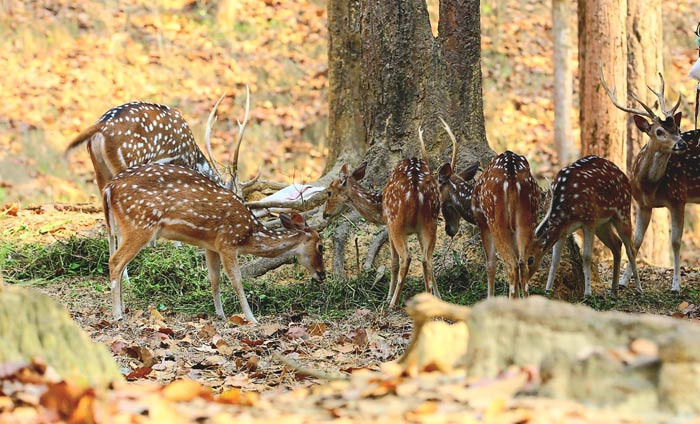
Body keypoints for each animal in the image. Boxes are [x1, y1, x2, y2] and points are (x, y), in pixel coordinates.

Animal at [102, 162, 326, 322]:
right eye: (320, 246)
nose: (322, 274)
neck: (249, 234)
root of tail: (108, 188)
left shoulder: (211, 246)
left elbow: (214, 279)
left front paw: (221, 314)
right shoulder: (228, 242)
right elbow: (236, 280)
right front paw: (251, 318)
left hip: (123, 227)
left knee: (118, 263)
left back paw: (123, 308)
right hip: (141, 224)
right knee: (115, 262)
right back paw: (117, 314)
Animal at [322, 128, 440, 304]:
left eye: (329, 192)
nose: (324, 214)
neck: (379, 208)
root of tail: (416, 188)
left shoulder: (388, 226)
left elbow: (393, 262)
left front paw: (389, 296)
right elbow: (429, 262)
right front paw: (438, 296)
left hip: (396, 221)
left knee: (406, 258)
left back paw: (392, 302)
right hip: (431, 219)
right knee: (426, 258)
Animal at [470, 152, 540, 298]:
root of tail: (512, 177)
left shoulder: (483, 224)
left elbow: (490, 264)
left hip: (495, 220)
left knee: (511, 265)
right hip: (528, 219)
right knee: (522, 264)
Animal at [532, 155, 644, 294]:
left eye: (530, 259)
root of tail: (626, 177)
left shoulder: (589, 219)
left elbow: (586, 256)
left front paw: (588, 293)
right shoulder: (563, 230)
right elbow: (555, 259)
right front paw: (548, 290)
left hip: (623, 212)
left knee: (630, 249)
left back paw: (639, 288)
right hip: (603, 224)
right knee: (617, 244)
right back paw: (614, 289)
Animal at [600, 71, 700, 294]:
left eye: (677, 128)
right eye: (659, 131)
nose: (682, 143)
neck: (650, 187)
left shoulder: (678, 198)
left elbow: (675, 242)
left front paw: (675, 286)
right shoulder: (642, 204)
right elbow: (636, 242)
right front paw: (624, 281)